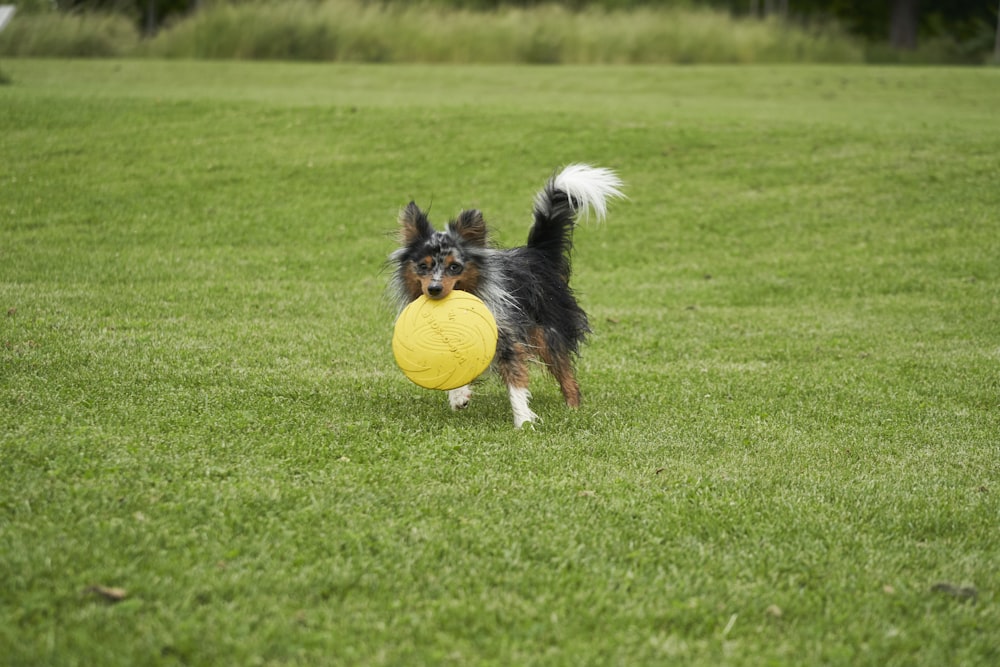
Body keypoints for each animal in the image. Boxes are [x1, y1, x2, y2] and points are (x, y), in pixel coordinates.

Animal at [386, 165, 620, 430]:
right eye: (423, 267)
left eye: (455, 267)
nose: (434, 289)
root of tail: (536, 253)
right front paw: (459, 396)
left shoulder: (509, 337)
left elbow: (517, 382)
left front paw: (523, 422)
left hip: (547, 331)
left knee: (565, 370)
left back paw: (573, 406)